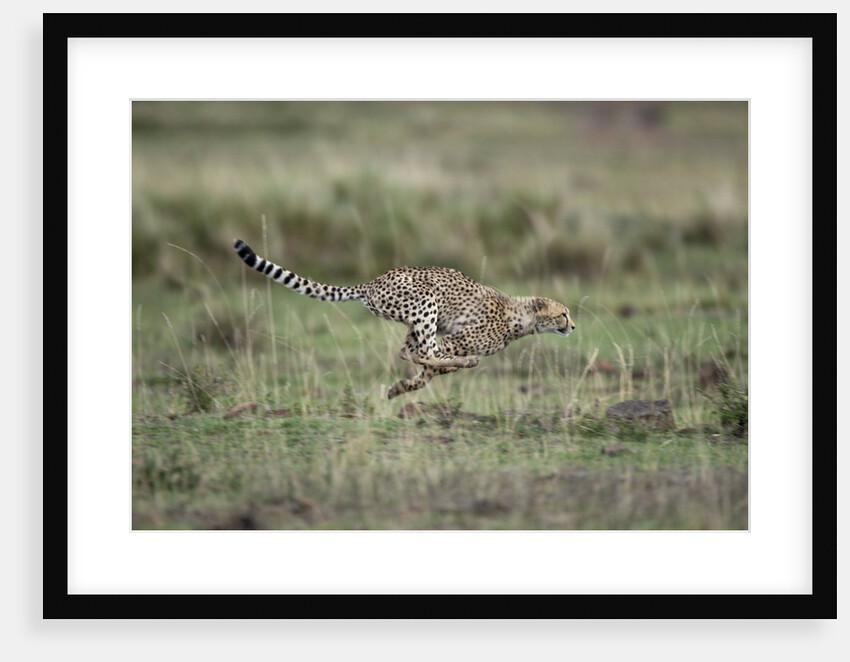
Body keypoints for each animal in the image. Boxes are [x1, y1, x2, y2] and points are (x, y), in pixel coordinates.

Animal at [233, 239, 576, 399]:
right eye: (563, 313)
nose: (573, 326)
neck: (521, 316)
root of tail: (371, 282)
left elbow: (426, 372)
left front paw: (401, 388)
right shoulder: (455, 340)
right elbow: (433, 361)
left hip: (417, 319)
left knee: (408, 349)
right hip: (426, 302)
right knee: (422, 350)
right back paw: (466, 363)